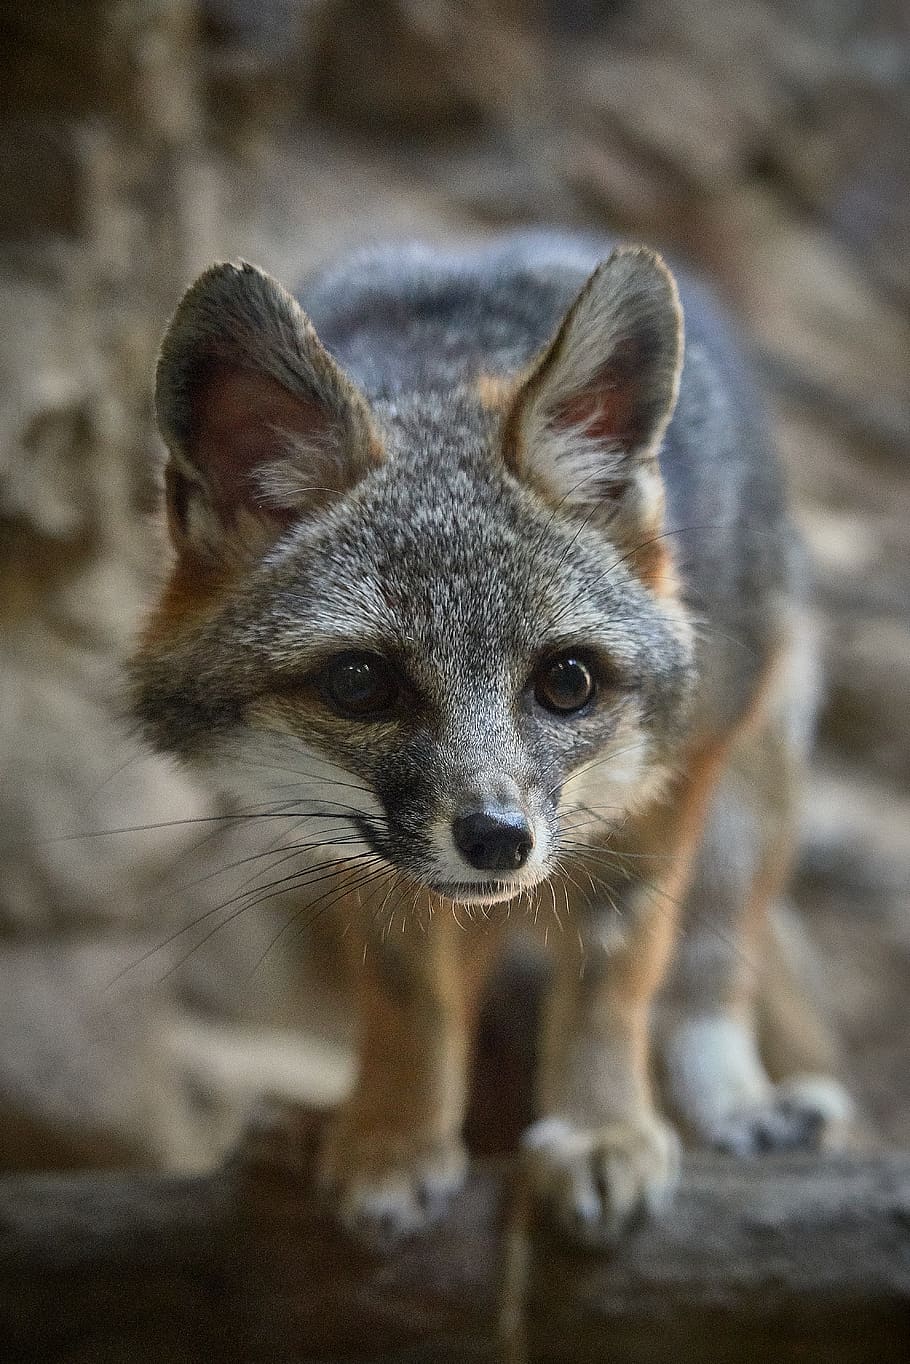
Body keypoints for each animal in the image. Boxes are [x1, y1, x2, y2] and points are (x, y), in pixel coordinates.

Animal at [130, 231, 852, 1246]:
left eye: (568, 682)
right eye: (360, 684)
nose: (500, 840)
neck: (445, 366)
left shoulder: (673, 779)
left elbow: (614, 976)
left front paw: (598, 1128)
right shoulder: (370, 858)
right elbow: (411, 1003)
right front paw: (391, 1139)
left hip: (751, 791)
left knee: (709, 970)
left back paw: (738, 1106)